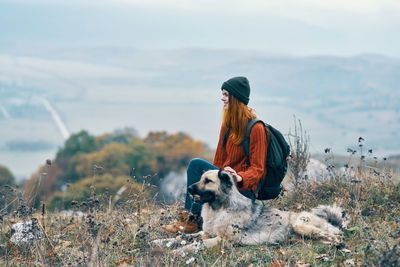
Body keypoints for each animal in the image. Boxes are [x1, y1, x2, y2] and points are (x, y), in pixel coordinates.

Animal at [153, 171, 346, 254]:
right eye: (201, 179)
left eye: (208, 181)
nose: (189, 189)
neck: (219, 209)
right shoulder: (206, 233)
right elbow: (184, 237)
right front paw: (161, 241)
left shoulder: (222, 240)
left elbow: (194, 244)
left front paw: (177, 251)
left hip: (301, 225)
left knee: (337, 236)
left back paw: (337, 244)